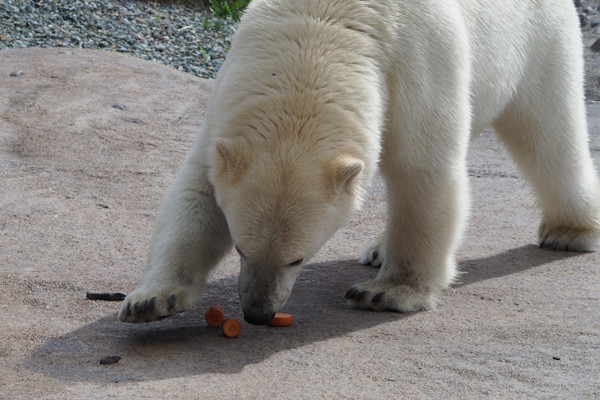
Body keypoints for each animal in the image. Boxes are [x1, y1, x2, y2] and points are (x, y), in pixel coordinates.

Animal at [117, 0, 600, 324]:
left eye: (298, 258)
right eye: (239, 247)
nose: (257, 312)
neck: (322, 25)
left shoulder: (415, 64)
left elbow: (423, 173)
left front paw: (387, 293)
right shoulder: (231, 98)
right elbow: (198, 189)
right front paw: (150, 300)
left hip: (539, 39)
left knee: (548, 132)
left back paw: (571, 231)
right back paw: (378, 248)